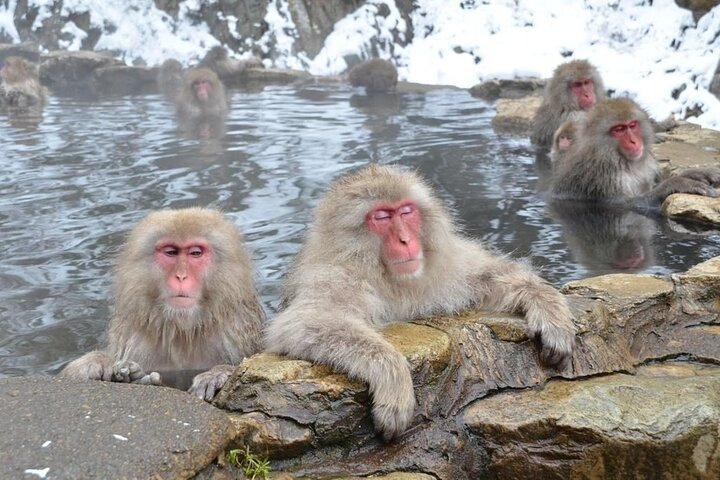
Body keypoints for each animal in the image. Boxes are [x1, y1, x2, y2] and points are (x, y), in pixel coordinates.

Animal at [59, 207, 265, 401]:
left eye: (195, 253)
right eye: (171, 252)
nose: (181, 276)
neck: (183, 331)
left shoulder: (233, 335)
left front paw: (215, 376)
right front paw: (95, 364)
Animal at [265, 164, 577, 442]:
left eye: (405, 211)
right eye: (381, 216)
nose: (405, 240)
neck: (391, 280)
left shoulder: (444, 269)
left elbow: (489, 279)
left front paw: (548, 308)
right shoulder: (334, 276)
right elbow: (305, 322)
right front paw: (394, 379)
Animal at [551, 97, 720, 208]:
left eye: (632, 125)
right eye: (619, 129)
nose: (634, 141)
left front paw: (697, 173)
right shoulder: (599, 175)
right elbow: (626, 205)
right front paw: (677, 183)